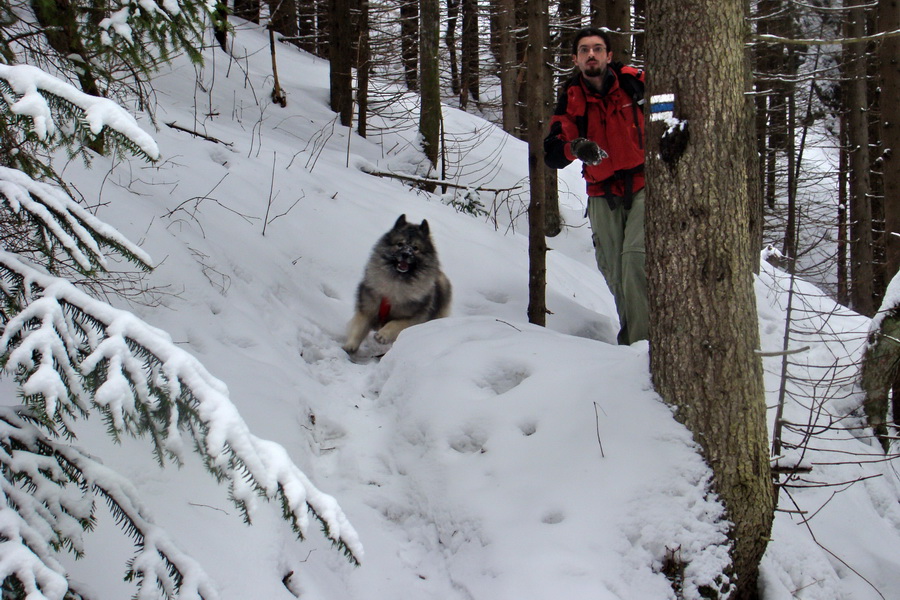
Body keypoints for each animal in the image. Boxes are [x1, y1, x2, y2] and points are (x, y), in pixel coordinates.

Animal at [342, 213, 450, 354]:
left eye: (415, 248)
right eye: (399, 244)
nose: (405, 254)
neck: (396, 282)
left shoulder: (412, 318)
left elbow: (395, 324)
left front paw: (382, 335)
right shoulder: (367, 308)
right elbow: (359, 326)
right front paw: (350, 345)